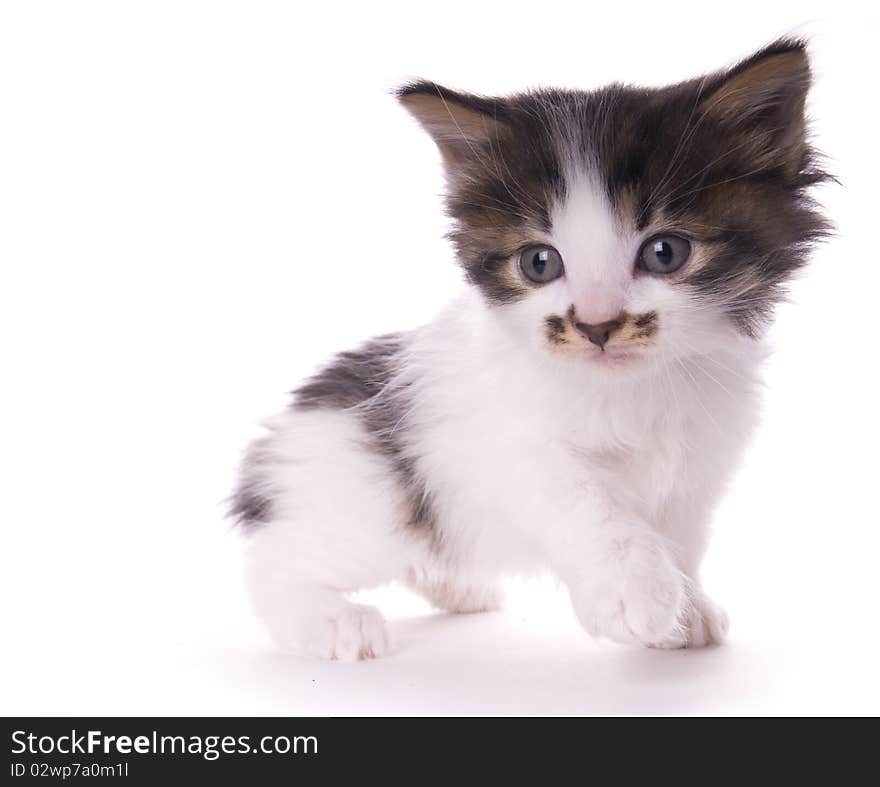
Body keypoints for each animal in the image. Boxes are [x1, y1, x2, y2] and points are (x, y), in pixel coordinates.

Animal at [230, 40, 828, 660]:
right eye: (540, 263)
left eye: (665, 253)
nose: (596, 326)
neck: (633, 388)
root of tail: (287, 430)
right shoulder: (499, 443)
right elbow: (584, 498)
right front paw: (636, 592)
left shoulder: (698, 467)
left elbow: (681, 536)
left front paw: (687, 610)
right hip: (362, 508)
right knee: (275, 564)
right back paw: (332, 622)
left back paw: (459, 589)